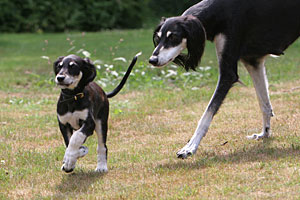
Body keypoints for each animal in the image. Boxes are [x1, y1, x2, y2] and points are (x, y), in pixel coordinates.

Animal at [149, 0, 300, 159]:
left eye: (173, 37)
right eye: (158, 38)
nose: (152, 60)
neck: (219, 11)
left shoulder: (228, 74)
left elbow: (207, 113)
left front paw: (190, 147)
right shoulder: (253, 61)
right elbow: (264, 104)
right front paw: (264, 133)